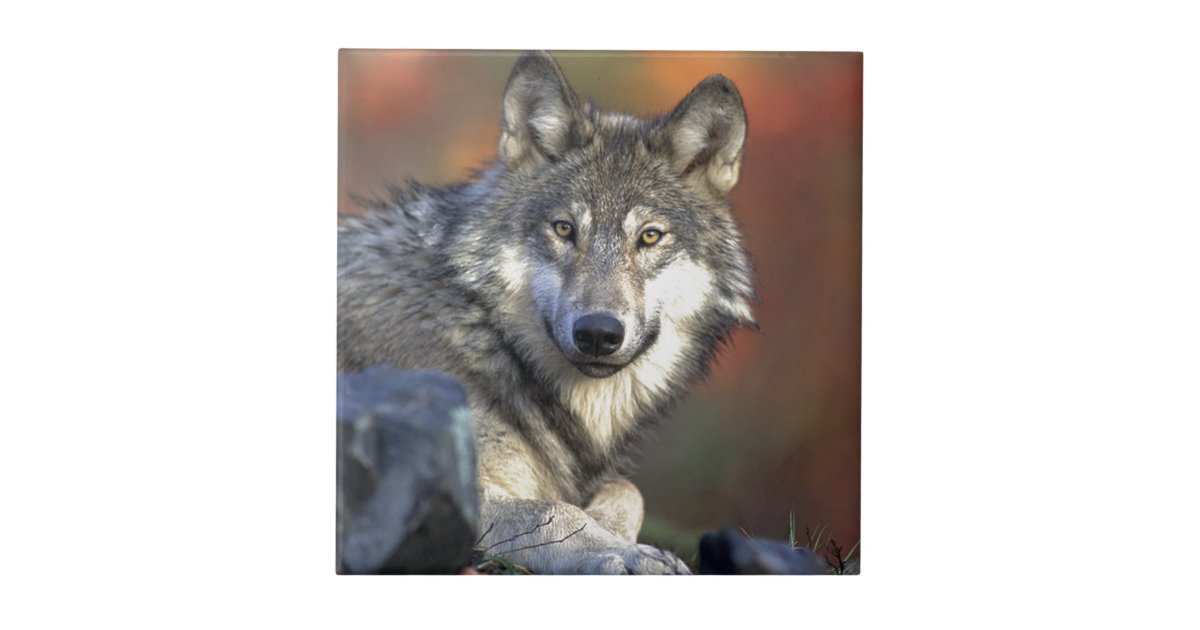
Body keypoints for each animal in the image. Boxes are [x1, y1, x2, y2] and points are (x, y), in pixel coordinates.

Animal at [338, 51, 755, 574]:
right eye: (563, 229)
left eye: (650, 236)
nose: (598, 333)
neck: (486, 335)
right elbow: (553, 511)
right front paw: (626, 553)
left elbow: (627, 489)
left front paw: (613, 529)